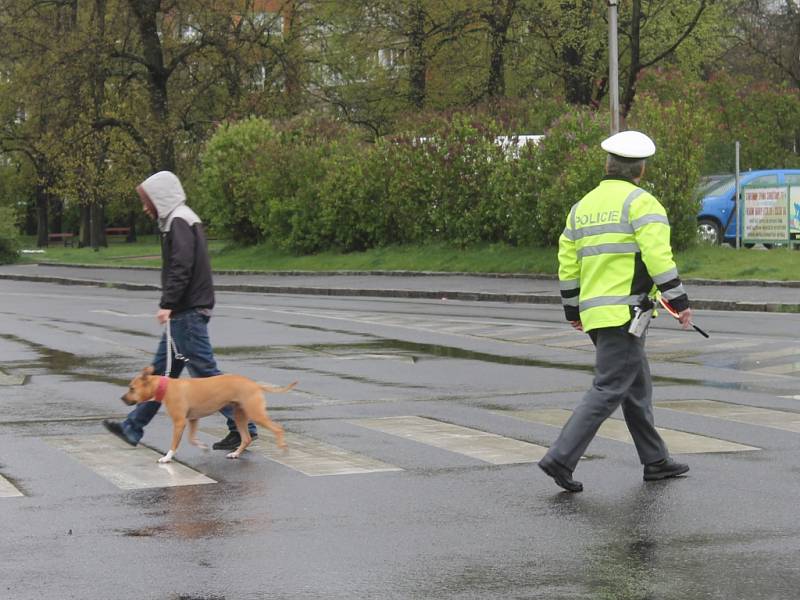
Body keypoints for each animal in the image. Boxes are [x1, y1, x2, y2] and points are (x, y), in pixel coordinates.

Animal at [123, 366, 298, 464]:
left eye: (132, 388)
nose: (122, 398)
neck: (165, 386)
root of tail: (255, 384)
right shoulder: (193, 419)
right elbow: (191, 439)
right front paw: (203, 446)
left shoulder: (179, 422)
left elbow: (174, 444)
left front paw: (167, 458)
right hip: (239, 415)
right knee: (246, 438)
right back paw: (235, 454)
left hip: (255, 413)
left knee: (277, 428)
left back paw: (283, 448)